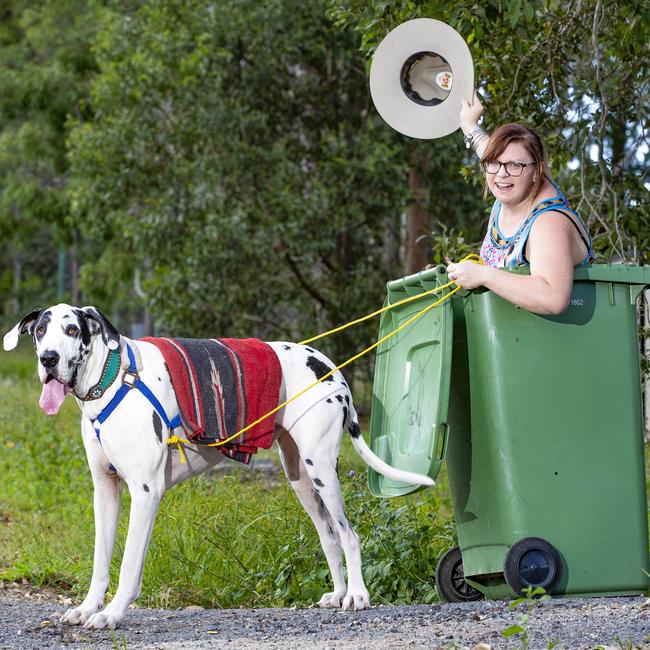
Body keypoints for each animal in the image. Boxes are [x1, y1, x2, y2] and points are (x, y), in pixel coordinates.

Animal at [5, 304, 432, 628]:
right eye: (40, 331)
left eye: (72, 329)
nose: (48, 359)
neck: (113, 378)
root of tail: (330, 365)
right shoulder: (105, 490)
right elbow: (100, 562)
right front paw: (87, 608)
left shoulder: (145, 492)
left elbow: (128, 566)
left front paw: (112, 614)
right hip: (300, 476)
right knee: (328, 534)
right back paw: (339, 592)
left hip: (322, 470)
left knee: (349, 534)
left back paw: (357, 595)